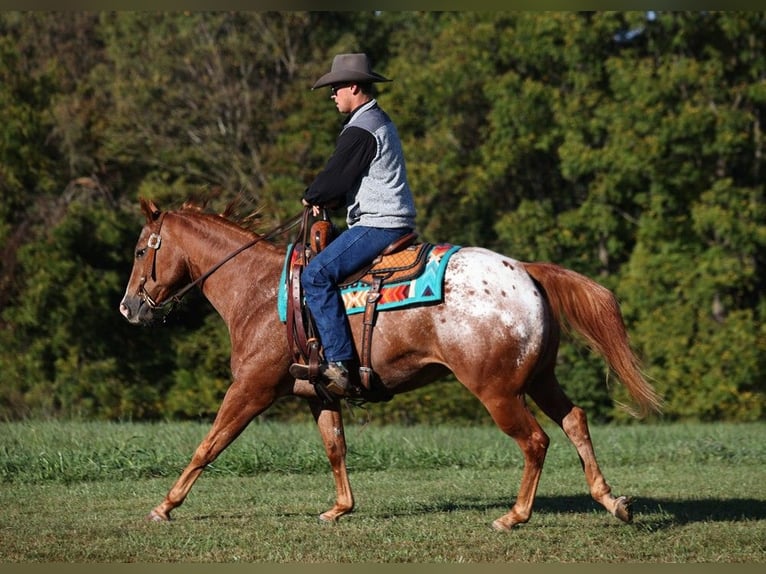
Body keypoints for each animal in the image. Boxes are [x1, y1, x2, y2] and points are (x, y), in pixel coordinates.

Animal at [121, 198, 664, 532]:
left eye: (141, 249)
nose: (128, 308)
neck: (259, 292)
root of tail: (526, 271)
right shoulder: (320, 394)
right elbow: (335, 448)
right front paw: (340, 509)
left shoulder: (250, 390)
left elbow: (208, 445)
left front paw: (165, 505)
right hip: (540, 378)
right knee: (575, 421)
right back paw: (612, 501)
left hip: (499, 391)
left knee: (535, 441)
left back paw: (514, 515)